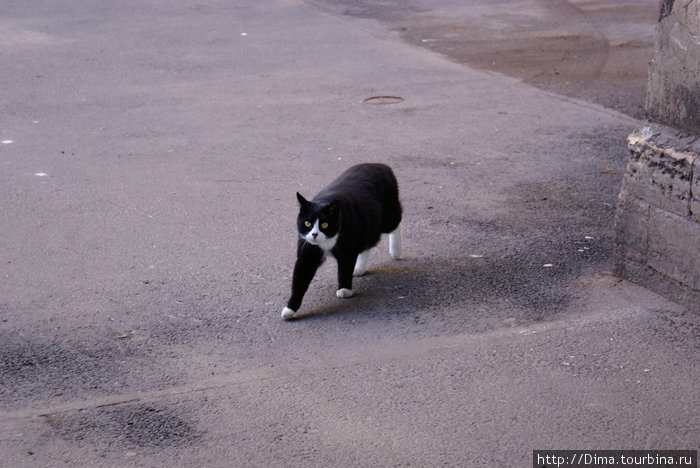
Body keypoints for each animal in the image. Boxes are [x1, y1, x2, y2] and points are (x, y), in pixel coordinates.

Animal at [280, 163, 402, 320]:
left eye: (325, 224)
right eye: (307, 223)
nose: (314, 234)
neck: (327, 242)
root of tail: (382, 165)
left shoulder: (348, 249)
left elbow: (344, 268)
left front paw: (344, 289)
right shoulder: (307, 252)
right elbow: (299, 281)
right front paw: (290, 309)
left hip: (387, 215)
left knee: (396, 221)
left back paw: (396, 250)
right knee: (367, 243)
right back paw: (359, 268)